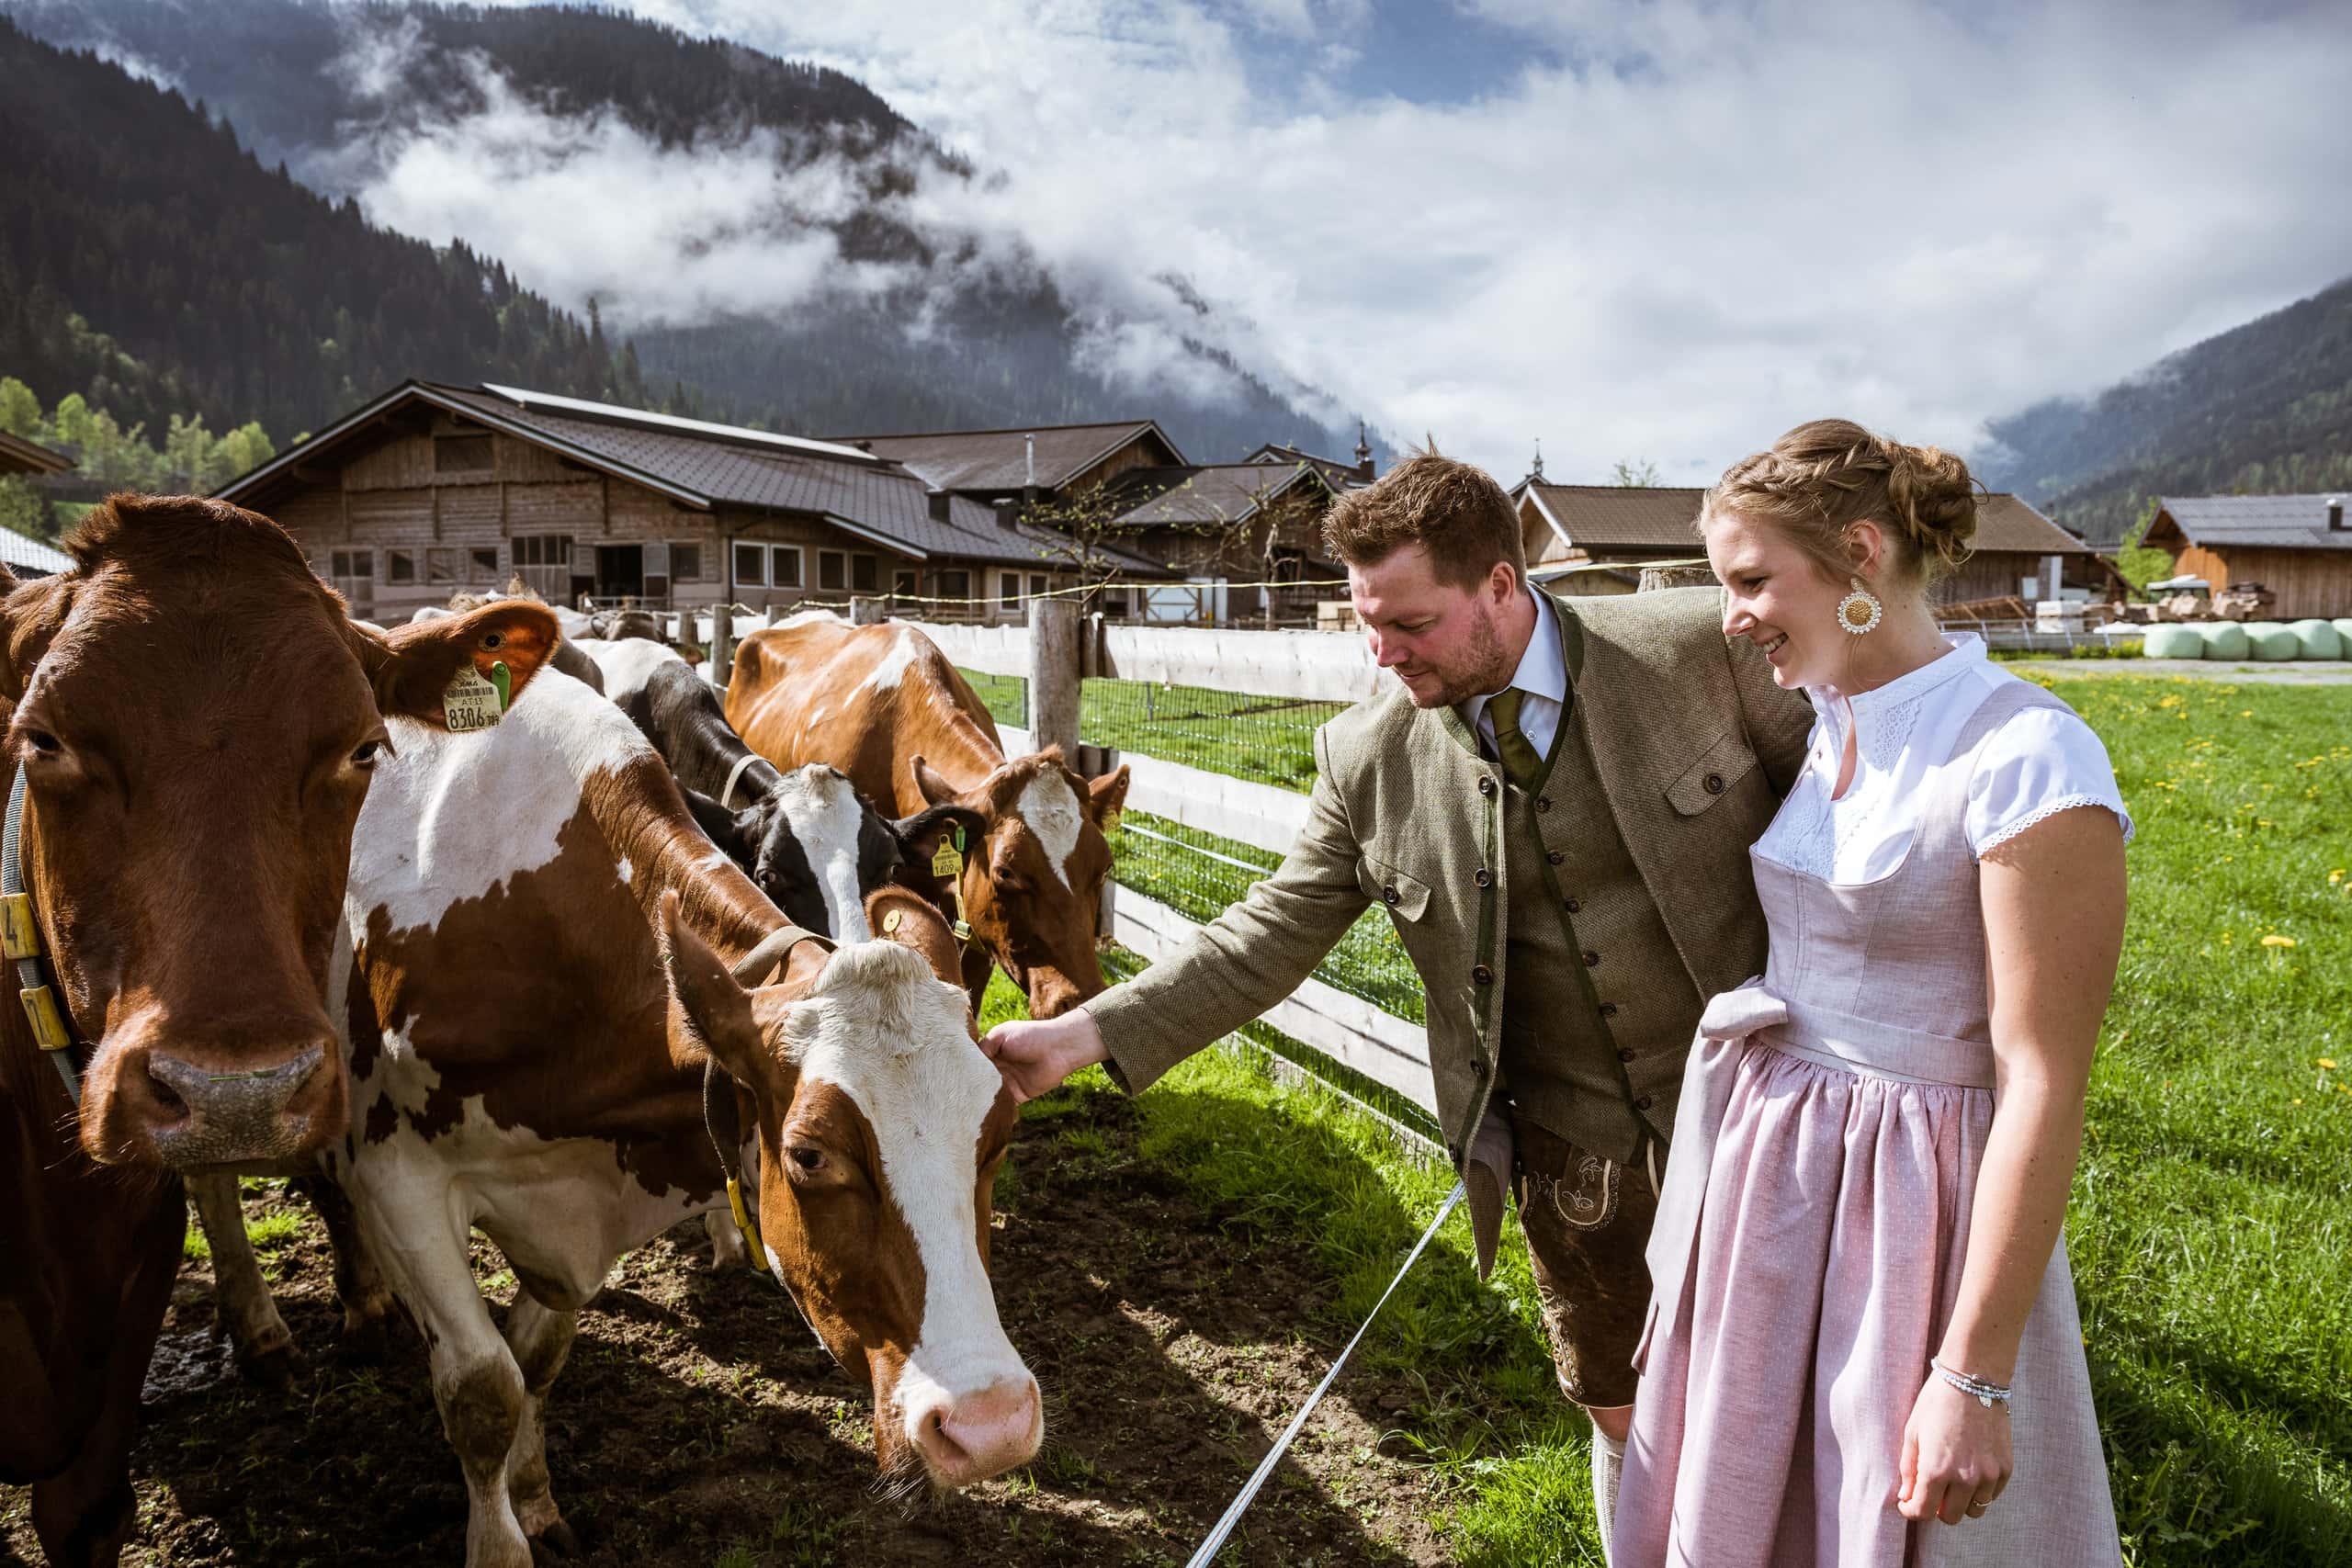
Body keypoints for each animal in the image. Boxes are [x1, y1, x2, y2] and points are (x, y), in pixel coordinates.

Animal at [324, 658, 1039, 1561]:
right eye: (809, 1153)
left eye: (999, 1136)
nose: (992, 1425)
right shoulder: (397, 1177)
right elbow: (485, 1390)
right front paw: (501, 1534)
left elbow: (537, 1360)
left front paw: (537, 1499)